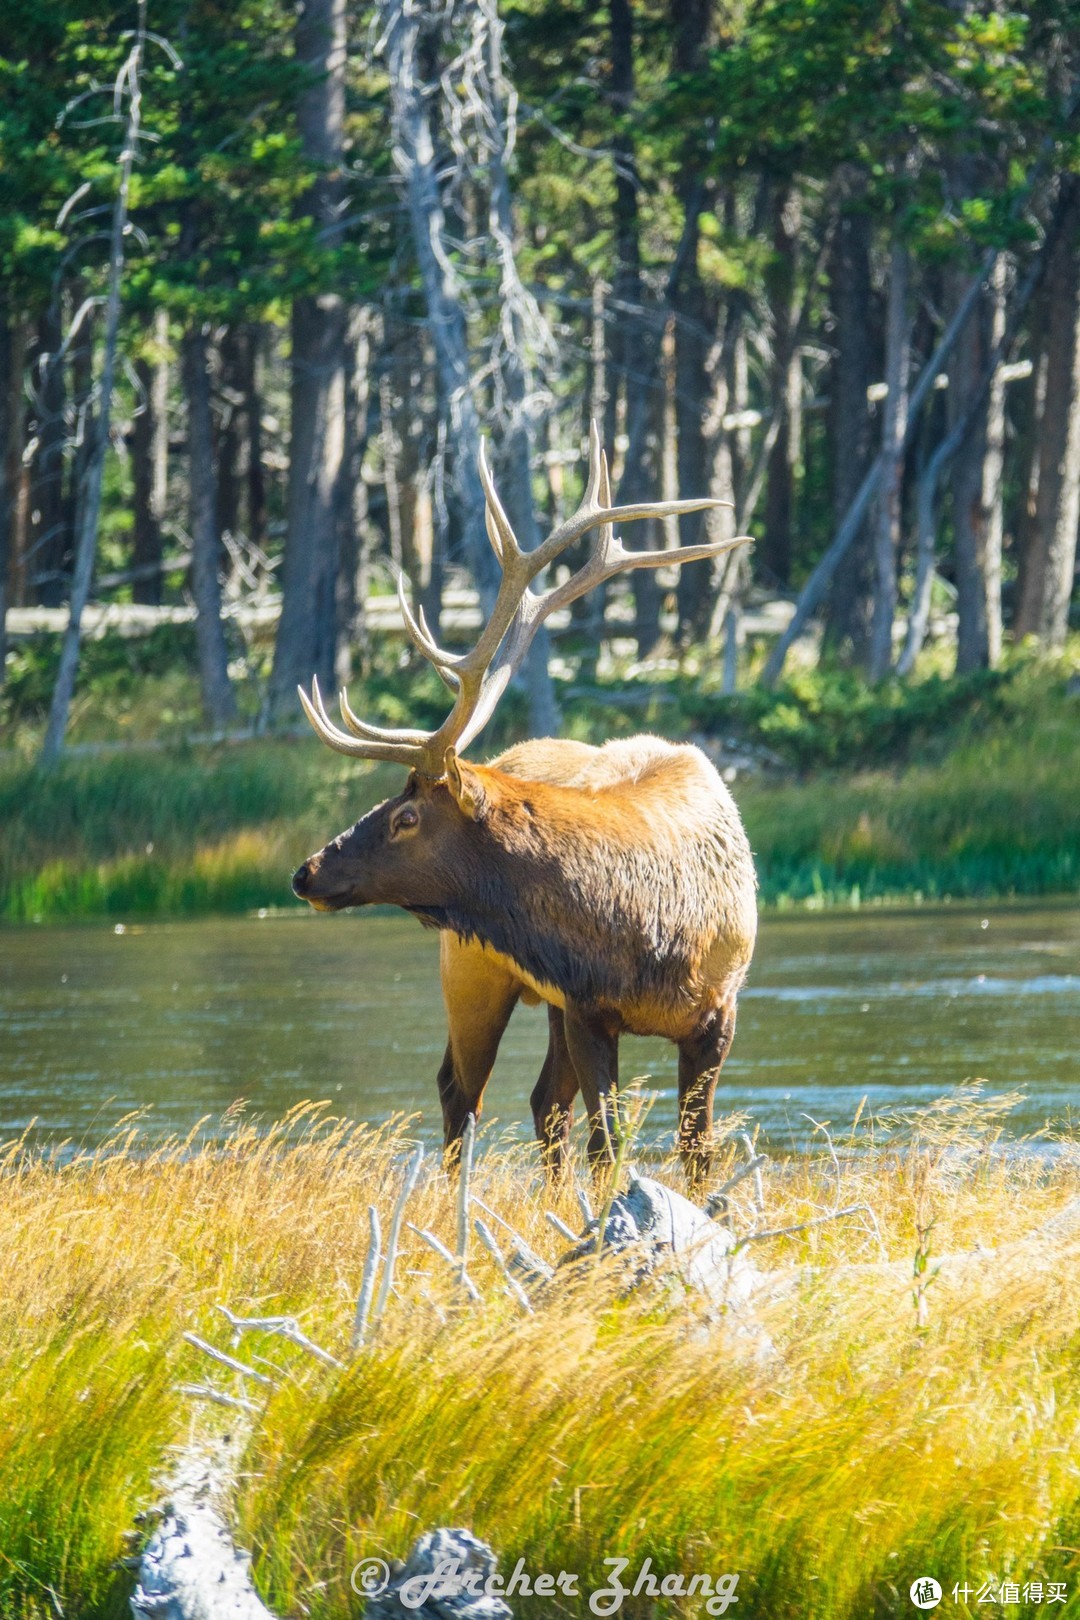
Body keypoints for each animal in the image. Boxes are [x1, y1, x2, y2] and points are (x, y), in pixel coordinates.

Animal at [291, 424, 757, 1185]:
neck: (648, 934)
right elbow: (608, 1145)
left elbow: (696, 1152)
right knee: (461, 1089)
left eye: (406, 817)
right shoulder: (589, 1010)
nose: (306, 872)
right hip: (472, 971)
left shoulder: (717, 1014)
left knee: (540, 1104)